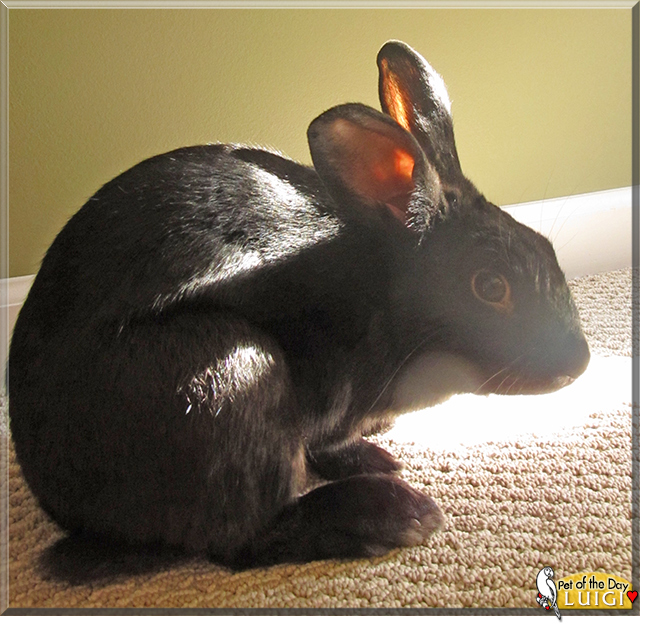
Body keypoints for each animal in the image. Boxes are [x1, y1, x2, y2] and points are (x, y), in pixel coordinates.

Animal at [7, 39, 588, 564]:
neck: (381, 297)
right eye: (489, 287)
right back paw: (395, 514)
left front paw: (370, 454)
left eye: (546, 248)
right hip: (231, 370)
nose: (579, 362)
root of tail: (67, 506)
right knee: (242, 537)